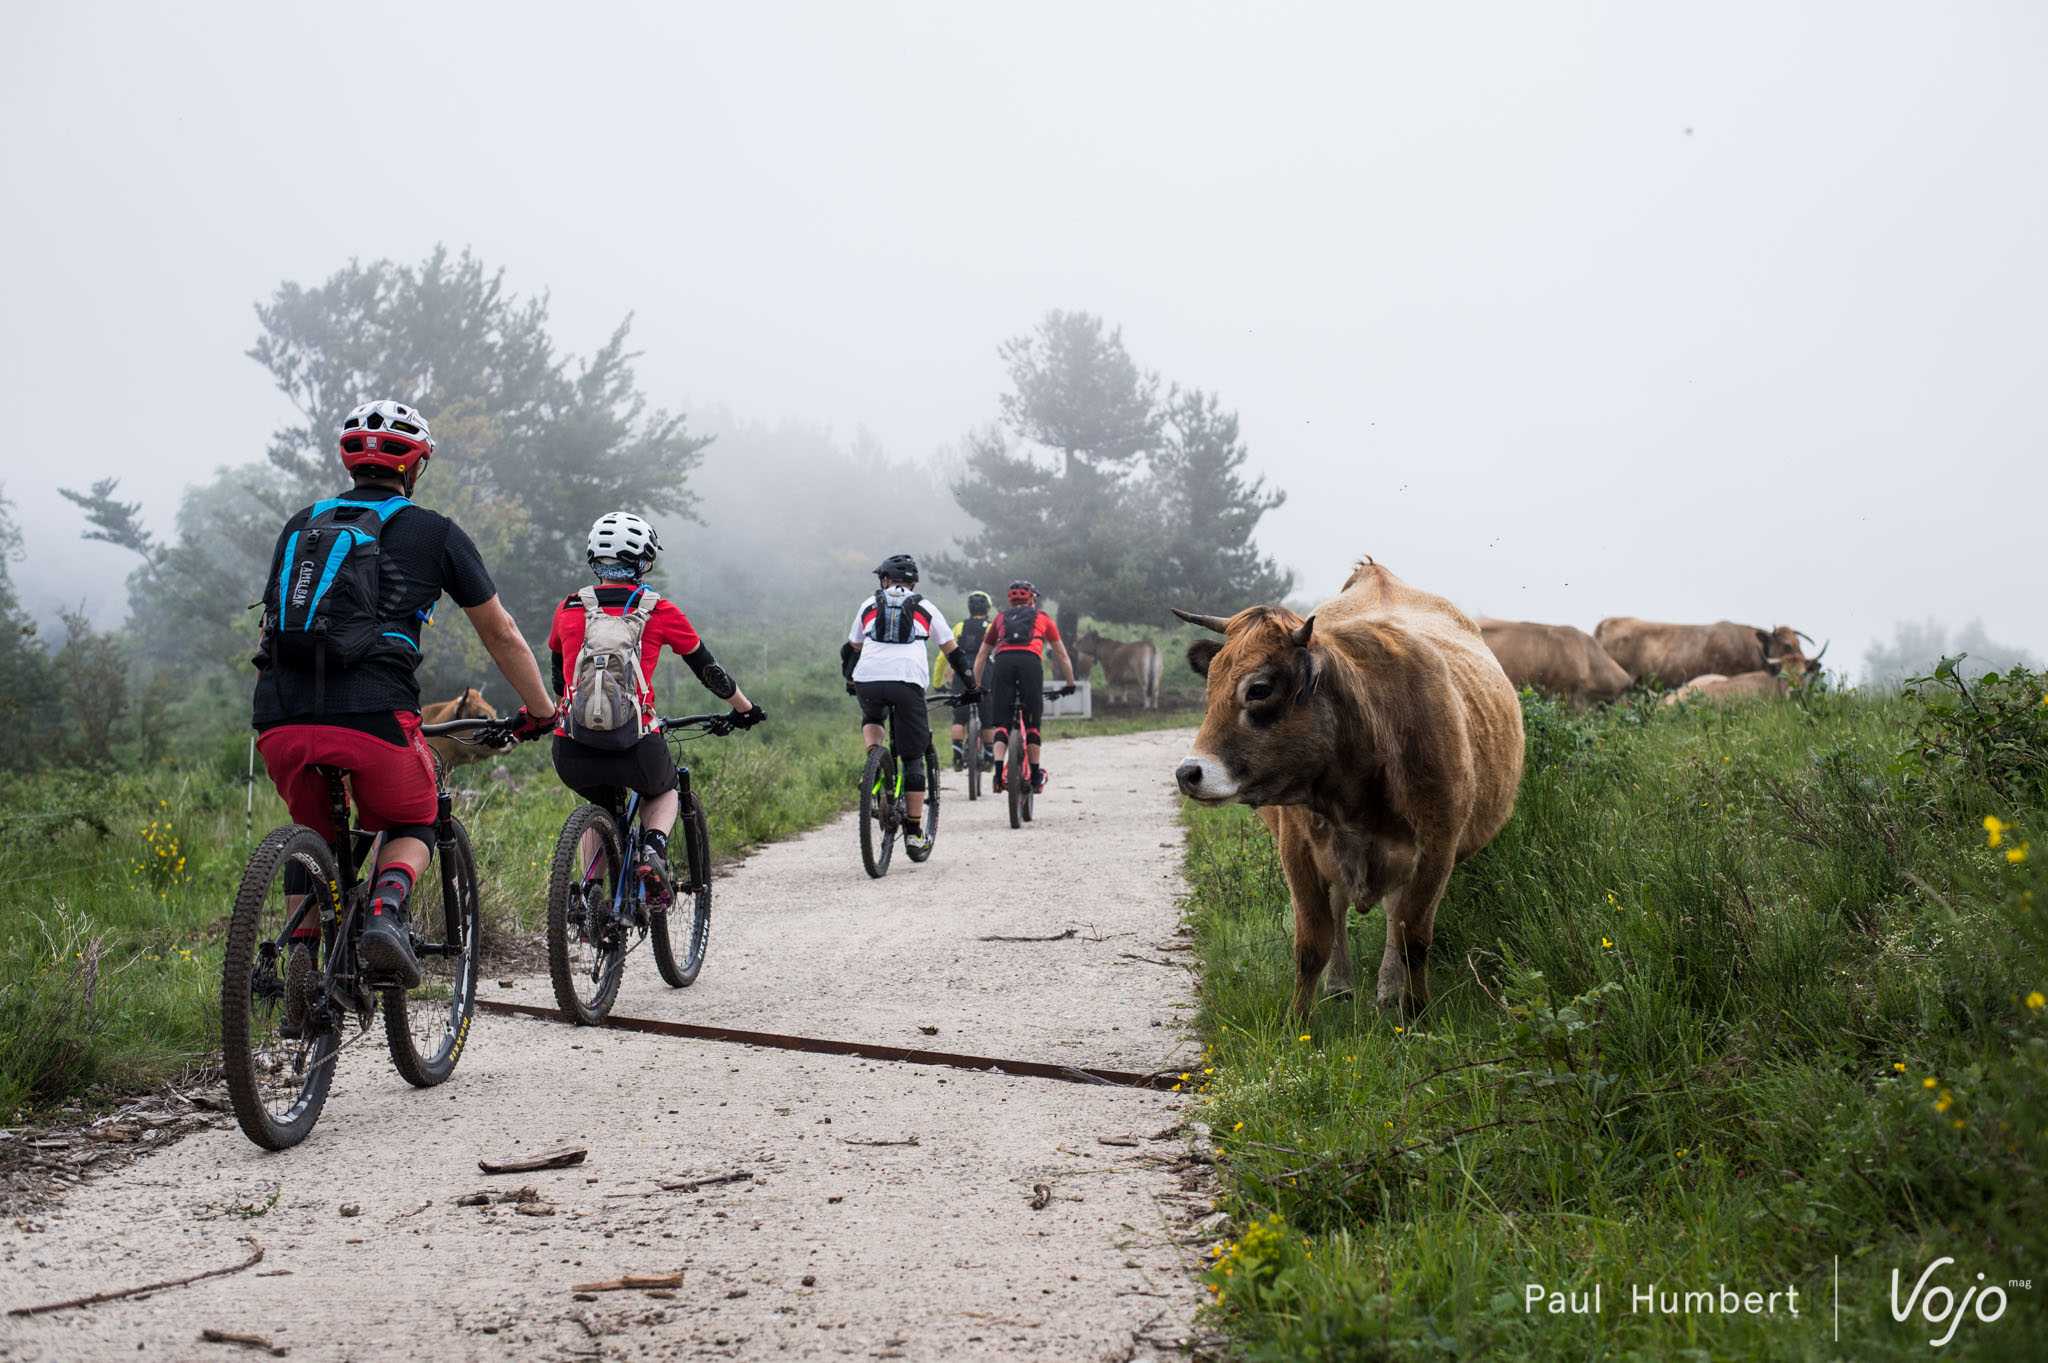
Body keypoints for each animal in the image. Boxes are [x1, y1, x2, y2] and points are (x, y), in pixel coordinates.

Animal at [1172, 558, 1524, 1020]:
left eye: (1259, 689)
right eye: (1209, 687)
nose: (1188, 773)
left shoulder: (1438, 849)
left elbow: (1414, 939)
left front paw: (1416, 1010)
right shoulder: (1297, 849)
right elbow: (1311, 942)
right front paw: (1298, 1020)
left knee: (1394, 914)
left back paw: (1389, 989)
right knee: (1341, 905)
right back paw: (1340, 985)